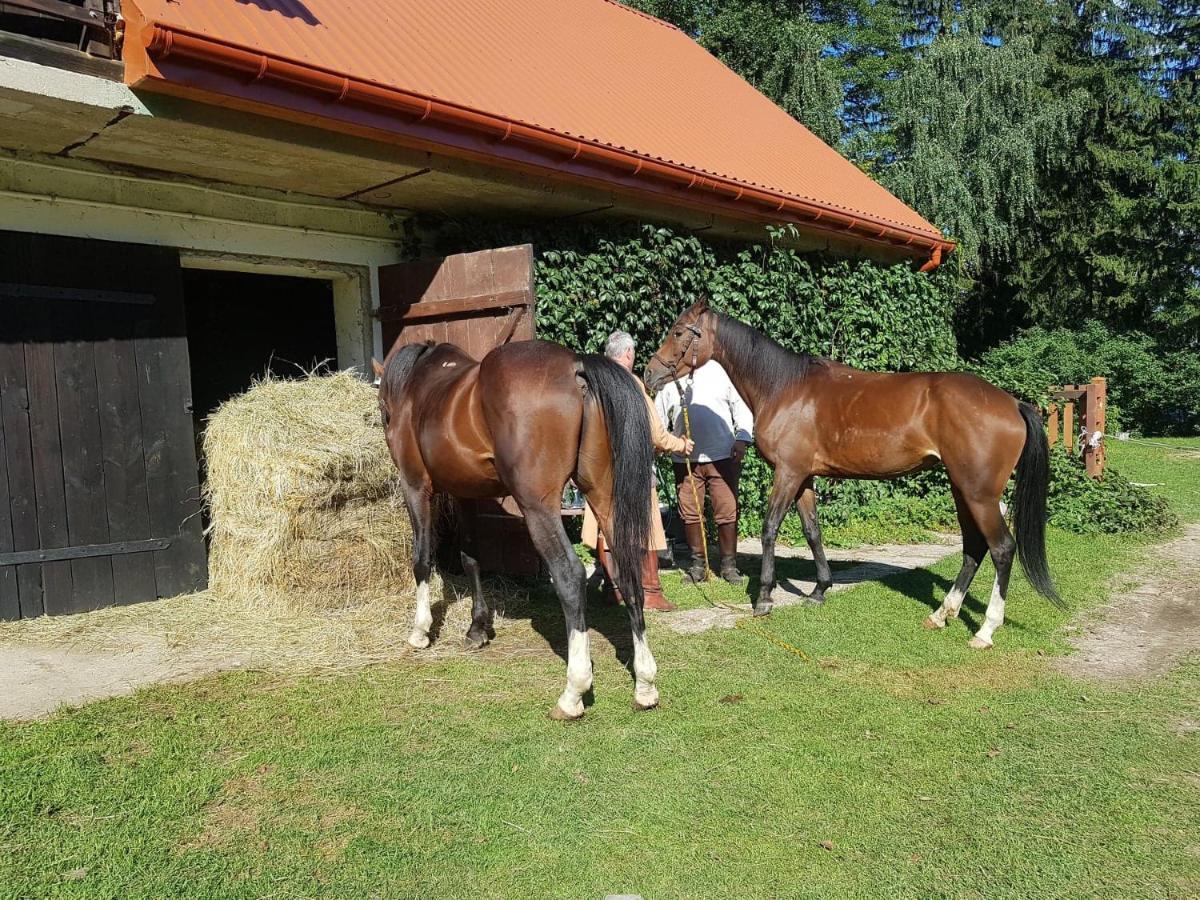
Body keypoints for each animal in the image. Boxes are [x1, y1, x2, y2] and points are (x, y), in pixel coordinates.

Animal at [372, 338, 657, 720]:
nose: (386, 426)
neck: (419, 388)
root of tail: (576, 365)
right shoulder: (466, 494)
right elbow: (471, 558)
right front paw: (477, 628)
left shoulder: (415, 487)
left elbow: (422, 558)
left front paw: (420, 630)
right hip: (603, 494)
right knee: (627, 570)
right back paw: (645, 685)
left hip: (537, 505)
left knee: (569, 575)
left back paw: (573, 692)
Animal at [648, 301, 1060, 648]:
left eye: (680, 331)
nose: (651, 373)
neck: (784, 387)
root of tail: (1013, 403)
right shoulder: (804, 477)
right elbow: (812, 531)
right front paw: (819, 590)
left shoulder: (787, 473)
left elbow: (770, 529)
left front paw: (763, 597)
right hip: (963, 490)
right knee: (974, 548)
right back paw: (942, 614)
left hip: (979, 495)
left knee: (1002, 548)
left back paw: (985, 630)